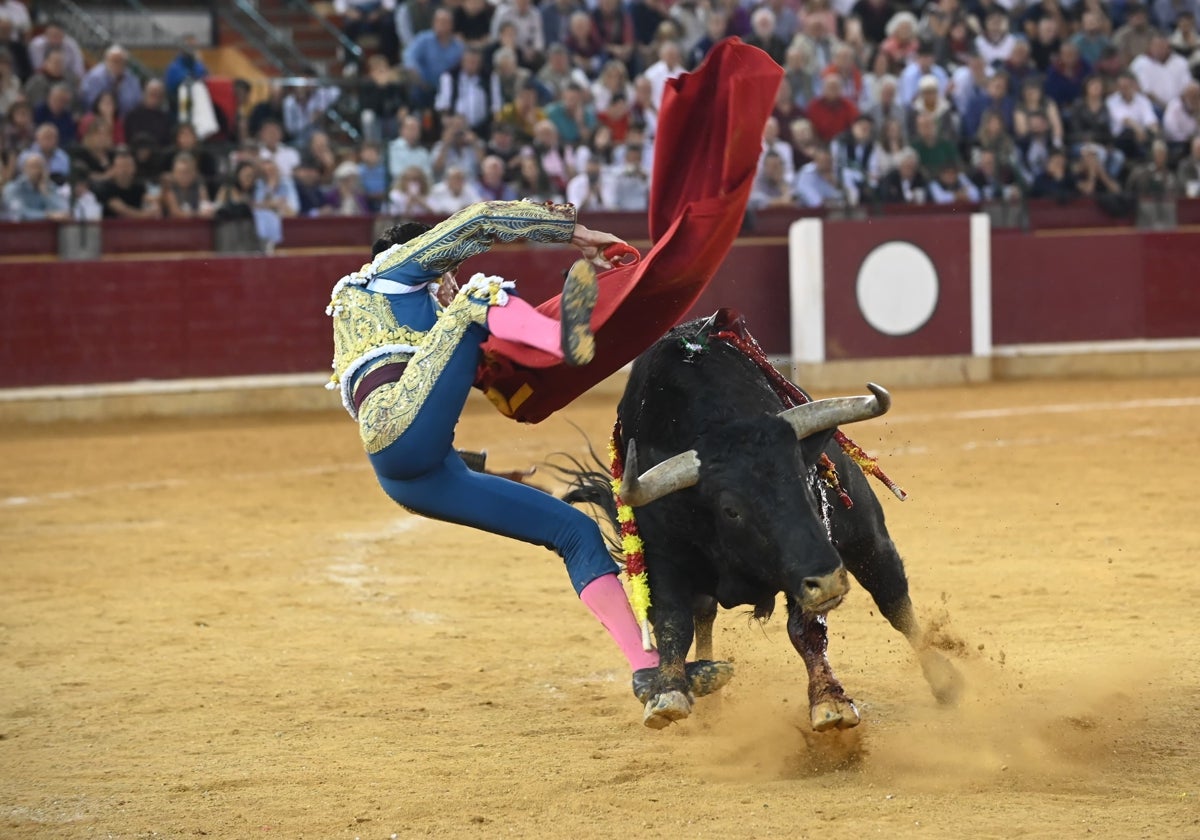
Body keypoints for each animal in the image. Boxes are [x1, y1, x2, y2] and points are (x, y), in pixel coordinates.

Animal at [564, 314, 964, 729]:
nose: (828, 581)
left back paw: (944, 680)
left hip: (865, 537)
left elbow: (805, 629)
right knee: (703, 612)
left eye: (805, 477)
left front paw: (830, 701)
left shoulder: (808, 561)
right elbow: (674, 622)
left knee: (892, 597)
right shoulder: (661, 558)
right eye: (731, 509)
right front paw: (668, 692)